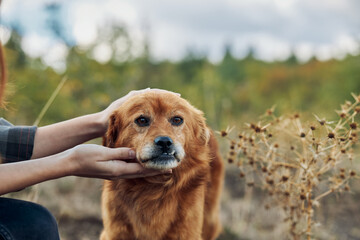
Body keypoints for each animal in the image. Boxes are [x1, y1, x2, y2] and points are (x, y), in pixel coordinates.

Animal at [101, 92, 224, 240]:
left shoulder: (187, 232)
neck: (154, 188)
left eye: (177, 120)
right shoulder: (115, 232)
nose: (165, 142)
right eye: (142, 120)